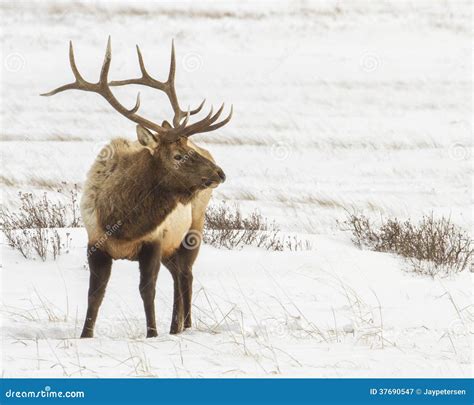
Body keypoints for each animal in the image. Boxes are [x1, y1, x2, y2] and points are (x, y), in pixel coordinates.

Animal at [42, 37, 231, 334]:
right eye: (178, 156)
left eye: (186, 149)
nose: (220, 172)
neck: (121, 223)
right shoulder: (95, 243)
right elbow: (95, 295)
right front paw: (85, 335)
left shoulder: (154, 241)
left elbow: (147, 291)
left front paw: (152, 334)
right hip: (172, 247)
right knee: (178, 275)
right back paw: (176, 326)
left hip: (192, 230)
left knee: (185, 274)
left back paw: (184, 326)